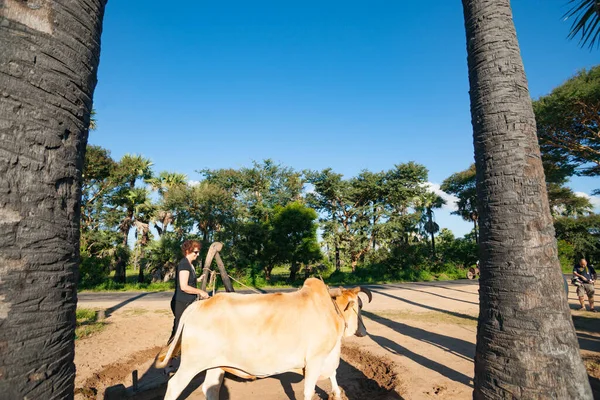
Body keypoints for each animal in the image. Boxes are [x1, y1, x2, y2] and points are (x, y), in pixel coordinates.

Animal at [155, 278, 370, 400]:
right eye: (358, 306)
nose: (364, 331)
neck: (331, 312)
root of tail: (198, 305)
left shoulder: (326, 357)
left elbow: (334, 375)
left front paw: (337, 394)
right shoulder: (315, 360)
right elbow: (309, 391)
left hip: (215, 365)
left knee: (211, 389)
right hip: (192, 364)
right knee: (174, 386)